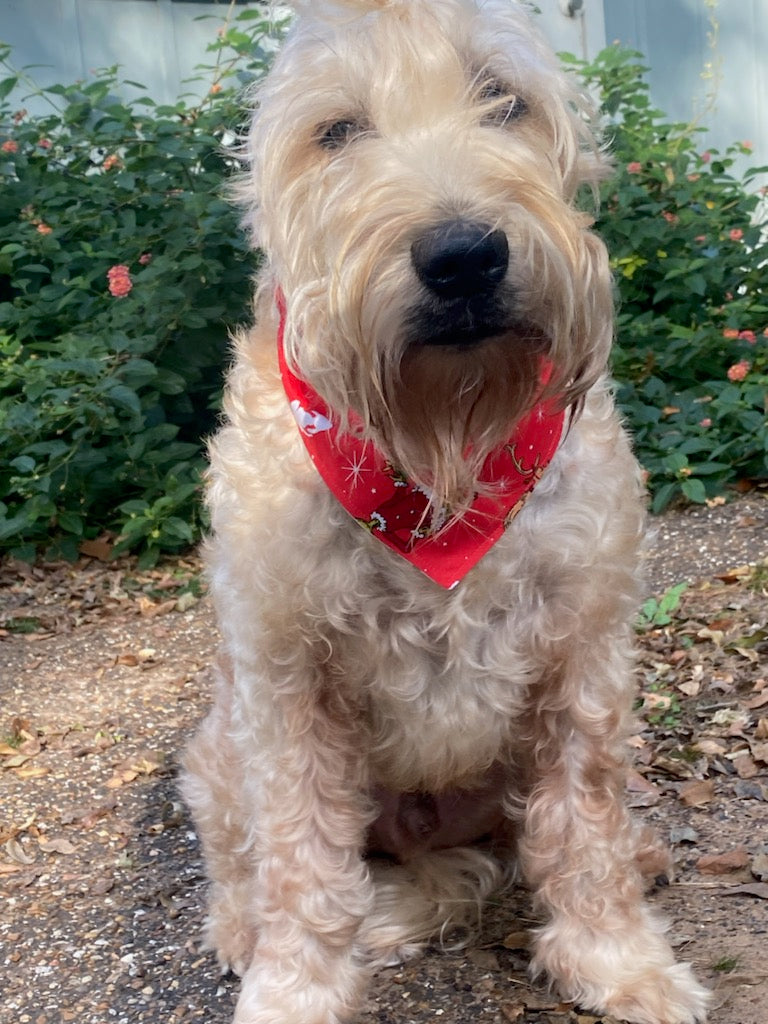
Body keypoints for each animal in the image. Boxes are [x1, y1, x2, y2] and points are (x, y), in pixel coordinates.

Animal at [183, 2, 712, 1024]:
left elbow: (584, 823)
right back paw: (241, 928)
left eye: (503, 98)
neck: (445, 466)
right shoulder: (287, 679)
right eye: (337, 130)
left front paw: (618, 960)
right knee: (243, 860)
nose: (464, 257)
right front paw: (295, 986)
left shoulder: (582, 651)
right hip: (219, 749)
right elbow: (299, 858)